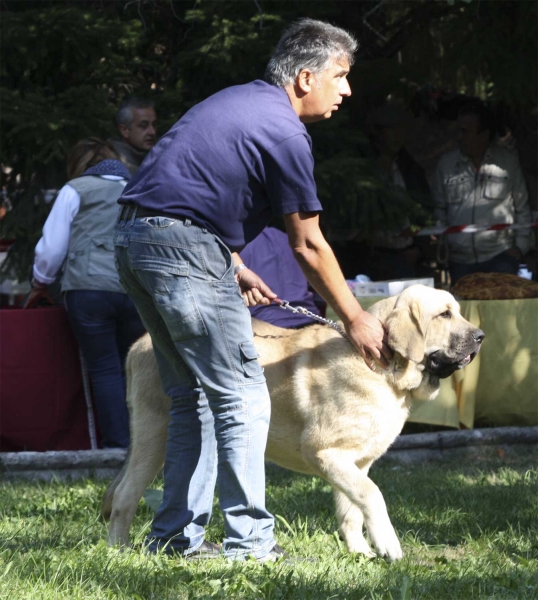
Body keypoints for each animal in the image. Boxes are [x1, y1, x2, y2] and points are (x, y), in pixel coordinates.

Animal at [100, 284, 482, 560]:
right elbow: (372, 496)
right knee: (125, 495)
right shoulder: (325, 453)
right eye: (444, 314)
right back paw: (119, 552)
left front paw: (361, 552)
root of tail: (140, 343)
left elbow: (352, 510)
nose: (480, 337)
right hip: (155, 436)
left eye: (457, 311)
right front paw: (388, 545)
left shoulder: (356, 461)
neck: (383, 368)